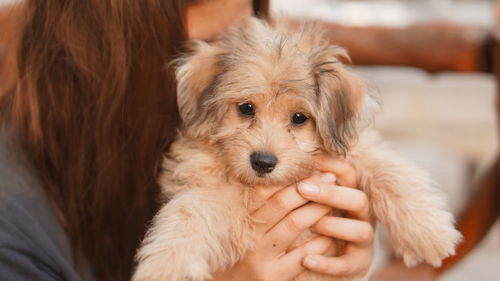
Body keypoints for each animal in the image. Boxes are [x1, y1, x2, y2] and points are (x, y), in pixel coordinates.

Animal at [134, 17, 460, 280]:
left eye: (299, 118)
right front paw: (167, 266)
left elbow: (390, 172)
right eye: (246, 108)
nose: (263, 162)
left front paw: (429, 232)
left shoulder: (354, 152)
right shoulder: (211, 190)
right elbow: (188, 214)